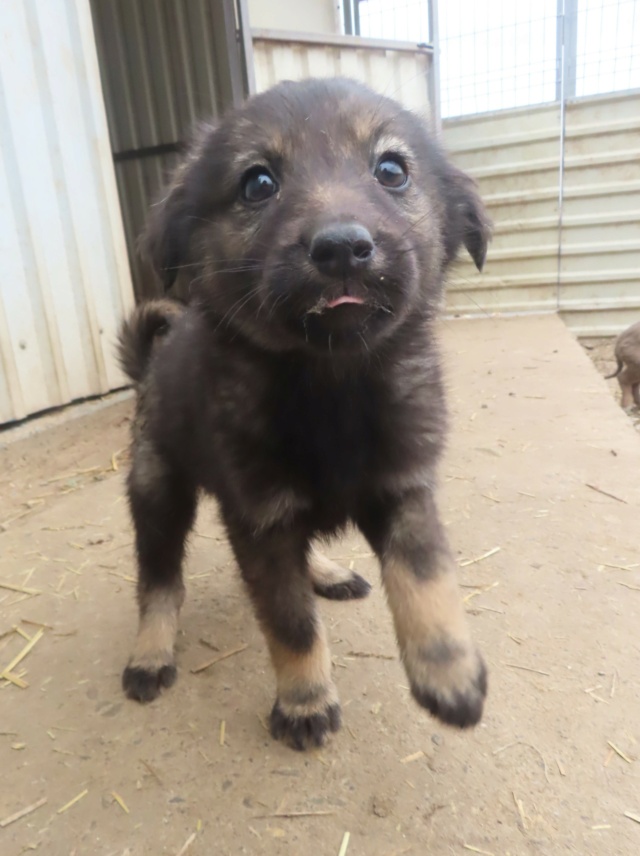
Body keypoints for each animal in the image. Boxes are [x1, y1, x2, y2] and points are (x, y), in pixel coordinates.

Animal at [117, 80, 492, 748]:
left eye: (391, 170)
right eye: (258, 183)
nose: (343, 248)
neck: (331, 383)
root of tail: (150, 366)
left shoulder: (403, 489)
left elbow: (427, 577)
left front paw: (450, 672)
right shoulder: (261, 520)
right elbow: (291, 625)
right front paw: (305, 701)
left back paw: (325, 571)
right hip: (157, 489)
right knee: (159, 582)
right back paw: (151, 651)